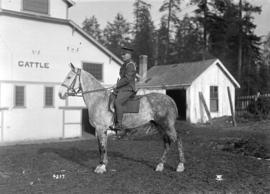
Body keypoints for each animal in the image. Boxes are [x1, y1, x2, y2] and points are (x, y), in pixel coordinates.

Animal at [58, 63, 186, 174]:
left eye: (69, 77)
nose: (60, 94)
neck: (98, 99)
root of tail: (170, 99)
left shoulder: (100, 128)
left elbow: (102, 147)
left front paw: (101, 167)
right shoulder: (101, 130)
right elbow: (102, 147)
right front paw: (103, 164)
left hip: (167, 125)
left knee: (178, 139)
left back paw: (180, 166)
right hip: (159, 125)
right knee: (167, 142)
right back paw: (160, 165)